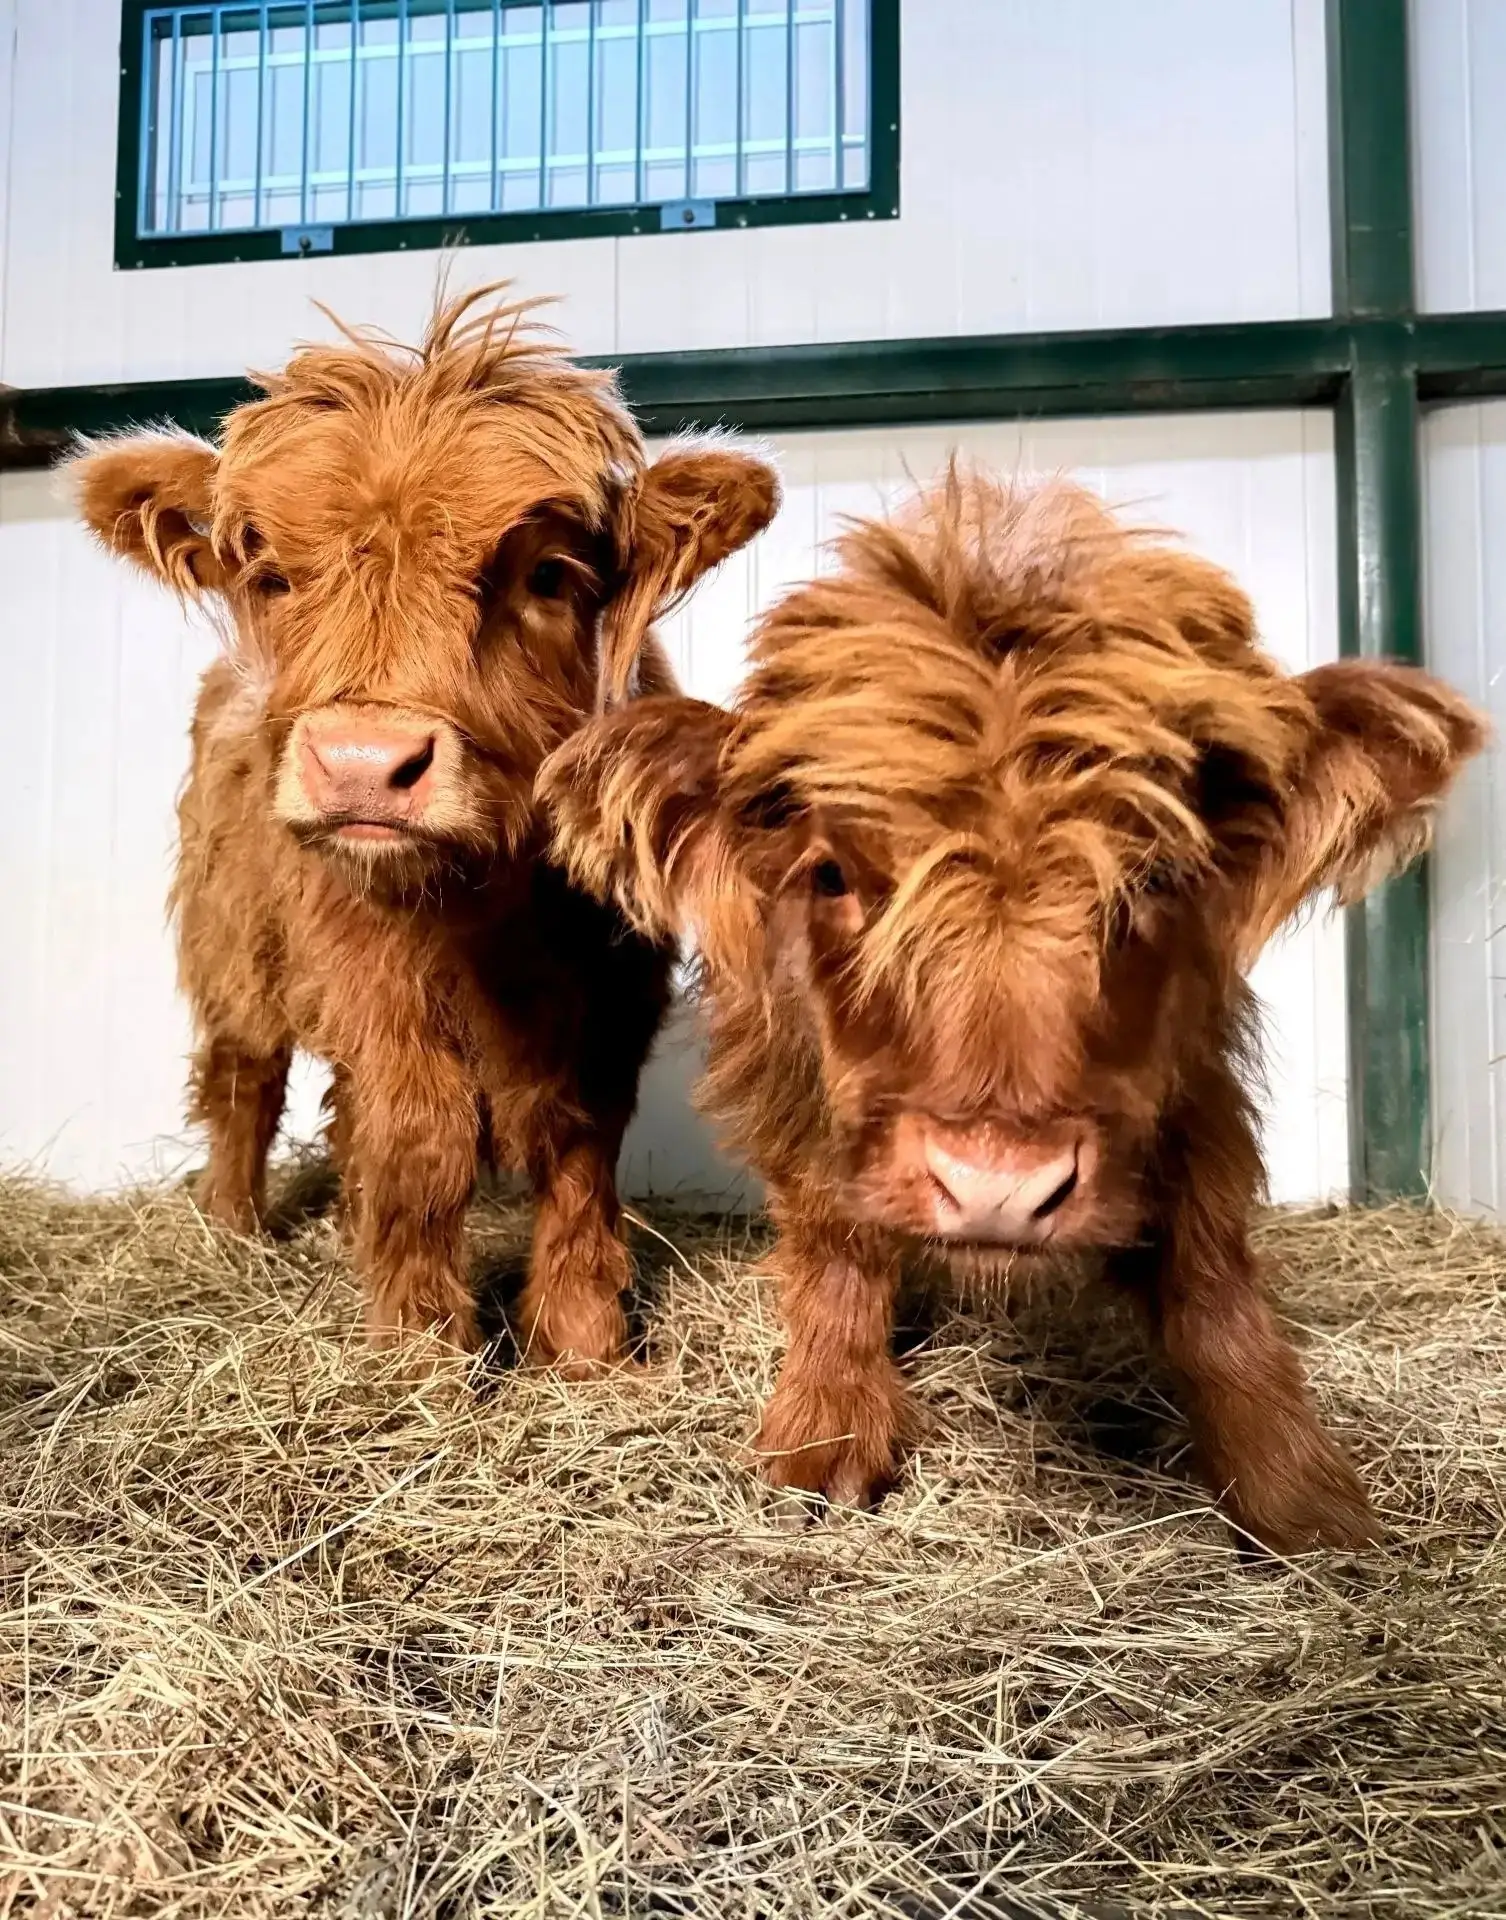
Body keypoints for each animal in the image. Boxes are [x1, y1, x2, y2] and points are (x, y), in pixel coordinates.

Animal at [71, 285, 779, 1366]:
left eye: (548, 574)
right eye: (272, 576)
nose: (364, 763)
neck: (490, 918)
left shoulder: (615, 991)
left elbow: (580, 1143)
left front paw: (585, 1349)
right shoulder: (363, 963)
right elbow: (422, 1134)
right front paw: (418, 1354)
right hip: (231, 948)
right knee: (245, 1082)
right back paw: (232, 1232)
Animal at [539, 468, 1486, 1550]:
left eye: (1156, 875)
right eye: (834, 873)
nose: (996, 1183)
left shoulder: (1190, 1076)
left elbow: (1211, 1274)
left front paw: (1300, 1490)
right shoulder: (797, 1073)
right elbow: (834, 1238)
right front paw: (825, 1432)